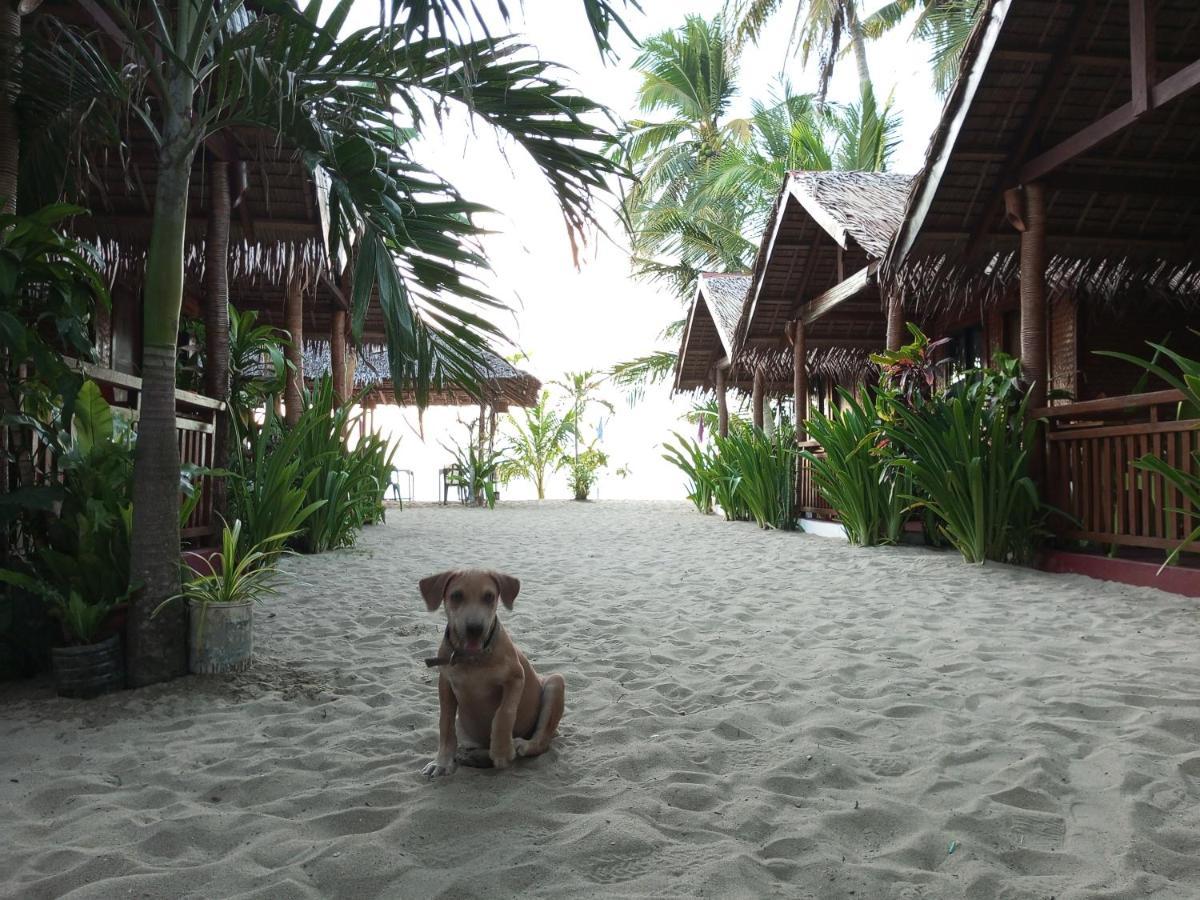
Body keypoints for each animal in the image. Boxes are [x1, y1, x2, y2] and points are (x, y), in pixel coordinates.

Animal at [417, 571, 566, 777]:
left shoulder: (516, 678)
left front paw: (502, 751)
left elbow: (504, 713)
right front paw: (441, 762)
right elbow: (445, 724)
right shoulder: (445, 684)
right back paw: (472, 756)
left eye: (489, 597)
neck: (472, 659)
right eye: (456, 596)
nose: (475, 628)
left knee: (542, 741)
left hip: (555, 682)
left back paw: (521, 745)